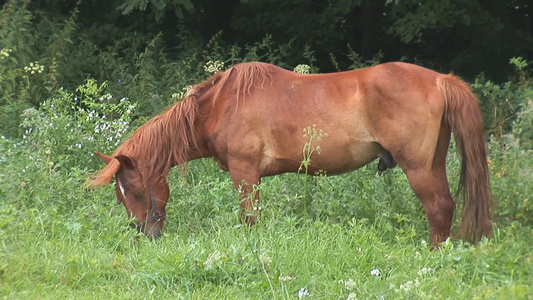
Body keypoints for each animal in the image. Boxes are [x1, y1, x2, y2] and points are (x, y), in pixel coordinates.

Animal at [89, 61, 492, 246]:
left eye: (135, 190)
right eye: (120, 196)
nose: (144, 234)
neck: (221, 104)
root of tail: (440, 79)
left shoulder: (245, 173)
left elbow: (249, 218)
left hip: (418, 167)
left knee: (438, 208)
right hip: (433, 163)